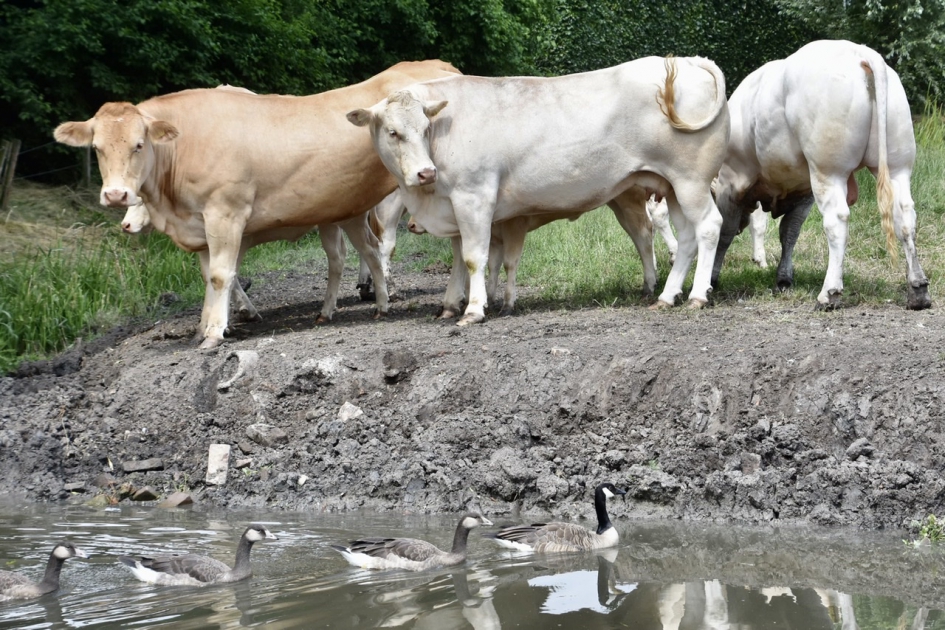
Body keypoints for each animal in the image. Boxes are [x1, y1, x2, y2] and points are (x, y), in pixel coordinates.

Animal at [54, 60, 461, 348]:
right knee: (366, 250)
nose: (116, 195)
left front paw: (215, 333)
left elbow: (222, 275)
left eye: (139, 144)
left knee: (395, 243)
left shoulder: (225, 214)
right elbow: (210, 276)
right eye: (97, 148)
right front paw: (204, 326)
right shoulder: (201, 226)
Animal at [348, 56, 730, 325]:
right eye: (392, 132)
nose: (425, 172)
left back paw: (697, 295)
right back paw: (667, 295)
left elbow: (474, 258)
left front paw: (474, 310)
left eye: (425, 128)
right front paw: (449, 305)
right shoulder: (452, 208)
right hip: (672, 185)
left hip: (690, 179)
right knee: (686, 237)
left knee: (708, 226)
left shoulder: (474, 197)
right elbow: (458, 260)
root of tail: (689, 60)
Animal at [712, 40, 930, 310]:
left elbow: (724, 232)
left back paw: (829, 293)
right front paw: (783, 279)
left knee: (837, 221)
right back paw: (918, 288)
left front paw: (712, 278)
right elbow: (789, 232)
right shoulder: (803, 190)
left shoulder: (730, 182)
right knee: (905, 217)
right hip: (898, 166)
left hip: (828, 171)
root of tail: (861, 52)